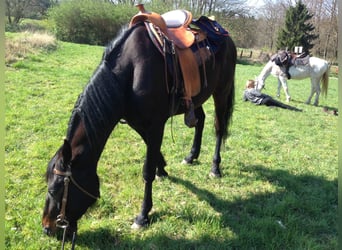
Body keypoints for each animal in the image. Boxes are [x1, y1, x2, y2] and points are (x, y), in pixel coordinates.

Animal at [42, 13, 235, 240]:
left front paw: (143, 215)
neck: (130, 71)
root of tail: (220, 30)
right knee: (201, 120)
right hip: (196, 98)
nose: (47, 228)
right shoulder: (139, 123)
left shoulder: (156, 124)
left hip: (221, 91)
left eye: (55, 190)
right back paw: (191, 156)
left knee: (219, 128)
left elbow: (147, 171)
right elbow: (154, 153)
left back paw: (215, 167)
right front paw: (163, 170)